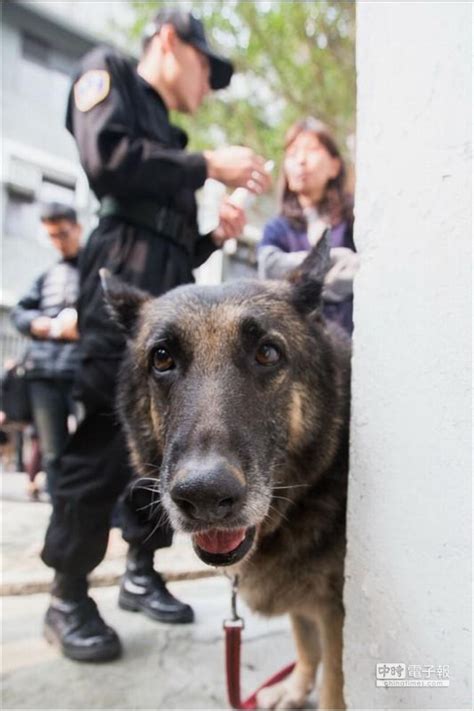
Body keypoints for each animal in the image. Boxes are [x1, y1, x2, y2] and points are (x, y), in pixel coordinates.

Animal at [103, 262, 348, 711]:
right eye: (162, 358)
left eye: (267, 353)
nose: (204, 496)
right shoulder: (312, 607)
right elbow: (305, 641)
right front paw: (295, 688)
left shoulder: (337, 611)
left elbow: (335, 683)